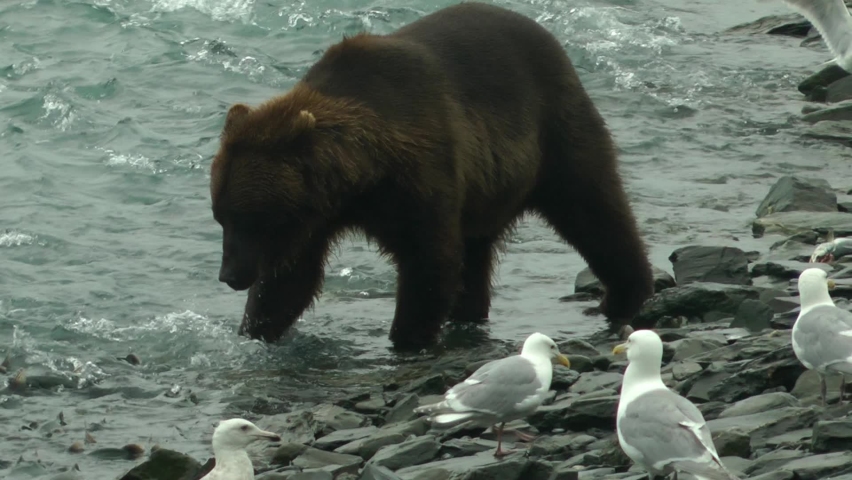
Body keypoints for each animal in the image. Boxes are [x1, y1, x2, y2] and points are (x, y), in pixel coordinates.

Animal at [210, 1, 655, 351]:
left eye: (251, 218)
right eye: (221, 216)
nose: (229, 275)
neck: (360, 177)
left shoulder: (420, 171)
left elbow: (429, 259)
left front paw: (406, 338)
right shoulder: (317, 215)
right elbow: (291, 279)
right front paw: (255, 329)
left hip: (556, 132)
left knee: (594, 209)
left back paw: (625, 294)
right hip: (487, 189)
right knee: (477, 252)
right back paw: (471, 315)